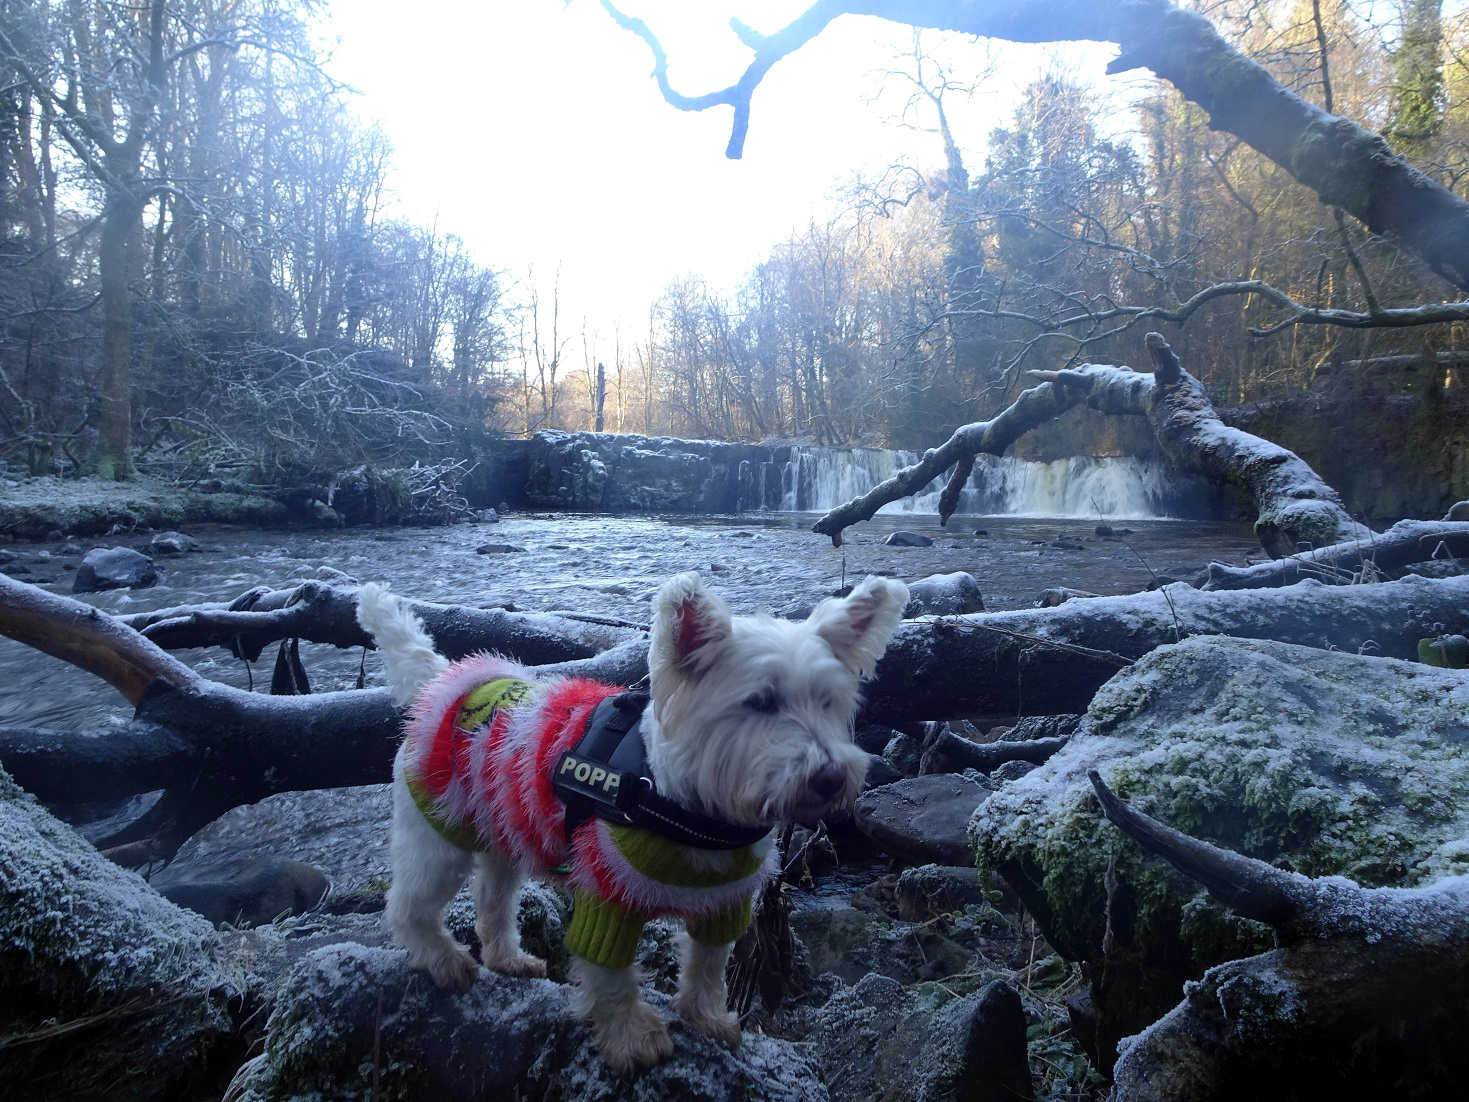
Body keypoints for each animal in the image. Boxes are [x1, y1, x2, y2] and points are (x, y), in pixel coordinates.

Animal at [355, 573, 904, 1075]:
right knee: (410, 905)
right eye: (761, 702)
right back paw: (443, 960)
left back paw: (508, 958)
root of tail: (444, 684)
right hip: (438, 835)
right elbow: (610, 974)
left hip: (507, 829)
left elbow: (708, 966)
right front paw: (631, 1039)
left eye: (828, 701)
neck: (686, 806)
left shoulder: (724, 901)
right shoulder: (608, 892)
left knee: (493, 898)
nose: (832, 778)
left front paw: (708, 1019)